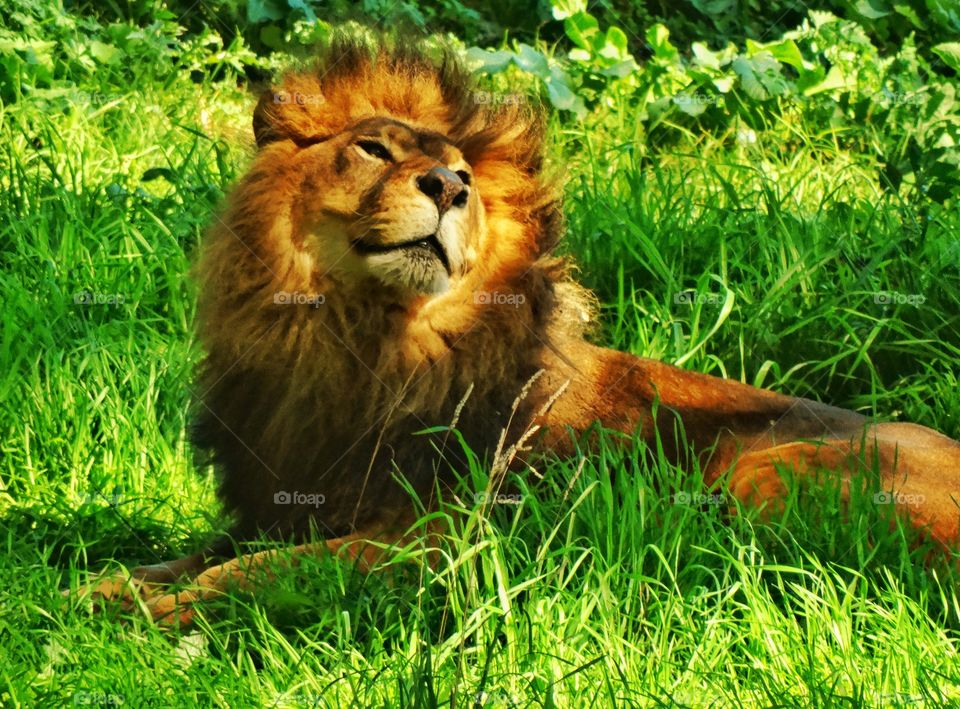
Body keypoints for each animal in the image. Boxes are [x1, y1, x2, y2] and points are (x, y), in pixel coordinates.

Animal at [84, 36, 960, 624]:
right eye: (373, 149)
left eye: (466, 176)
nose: (445, 185)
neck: (354, 340)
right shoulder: (286, 500)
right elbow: (198, 553)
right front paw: (104, 588)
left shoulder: (441, 534)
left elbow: (258, 572)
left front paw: (163, 611)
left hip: (766, 474)